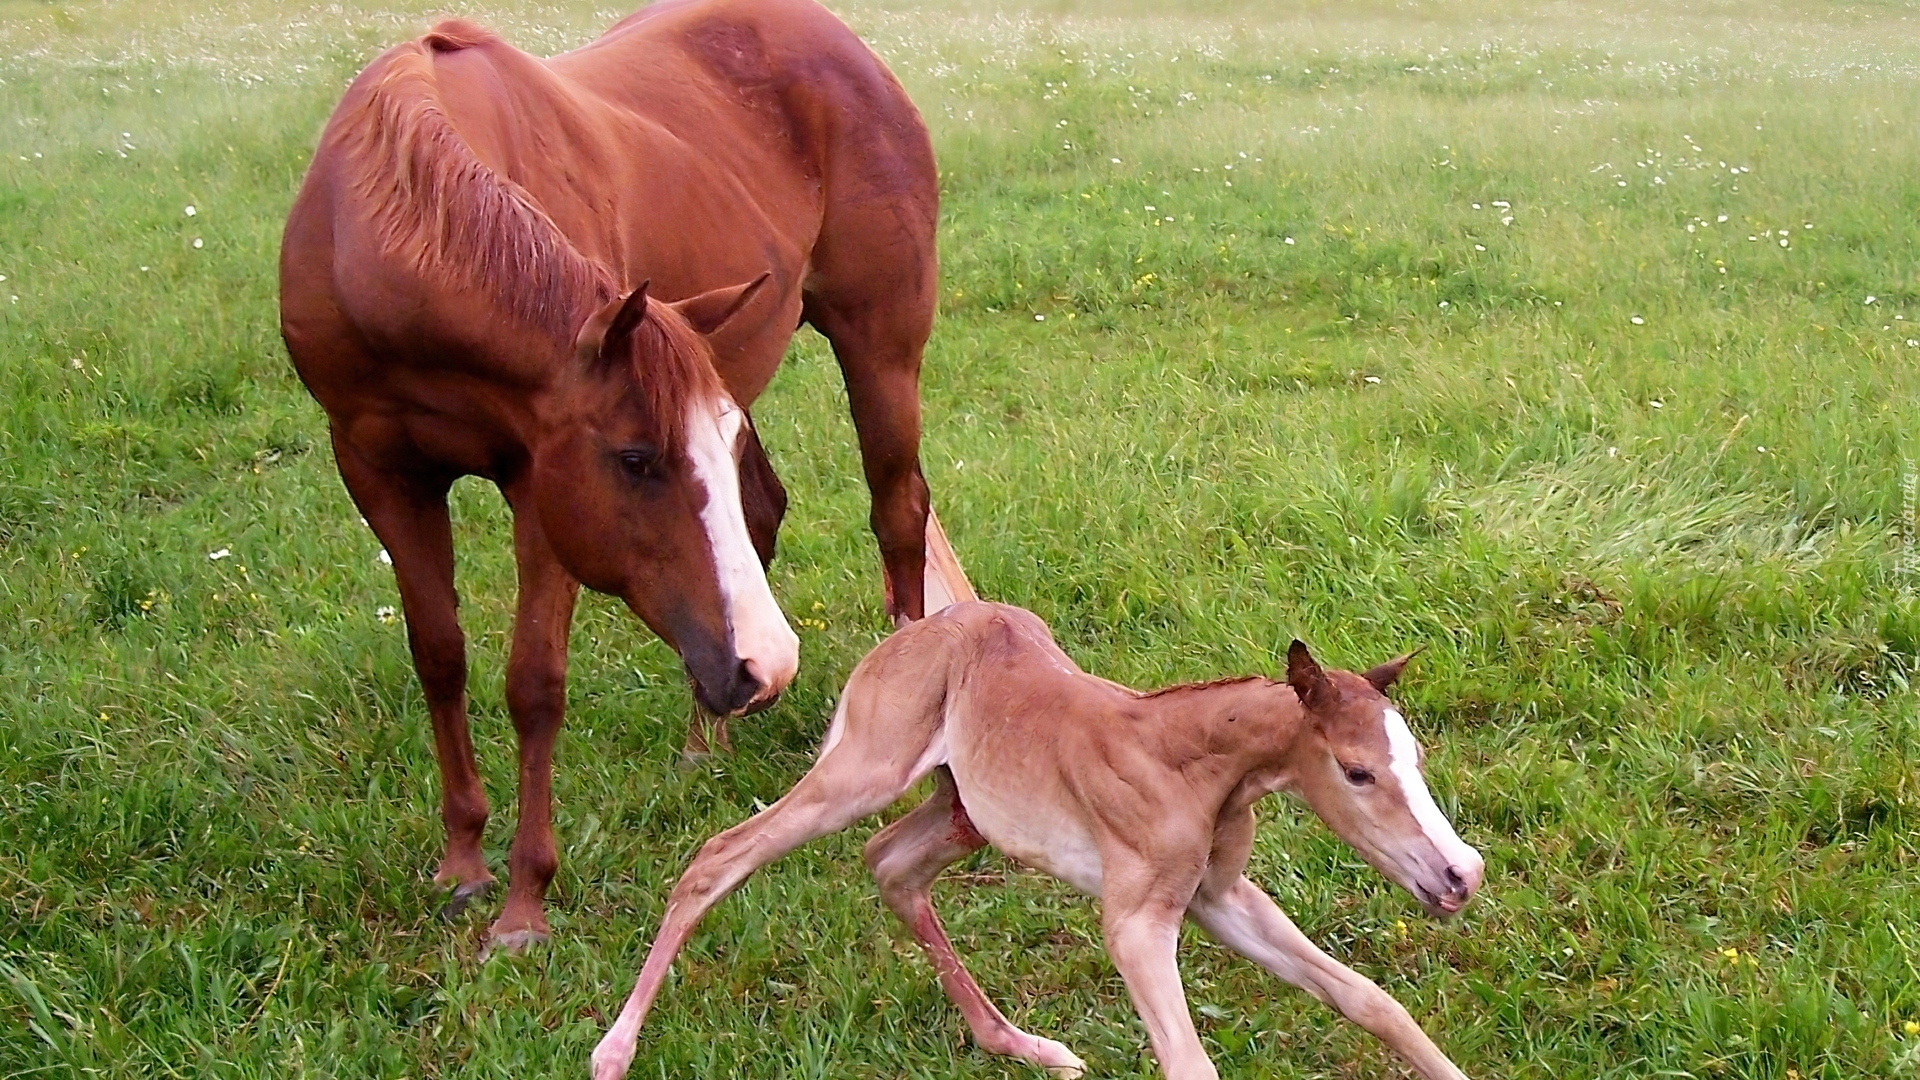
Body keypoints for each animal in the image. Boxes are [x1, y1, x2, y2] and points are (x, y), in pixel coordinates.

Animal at [595, 599, 1482, 1068]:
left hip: (963, 812)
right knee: (722, 855)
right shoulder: (1135, 921)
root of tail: (914, 630)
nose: (1460, 874)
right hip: (864, 770)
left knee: (890, 863)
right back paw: (613, 1050)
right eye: (1357, 772)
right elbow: (1188, 1061)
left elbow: (1368, 999)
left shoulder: (1220, 897)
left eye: (1416, 756)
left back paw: (1023, 1046)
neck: (1197, 765)